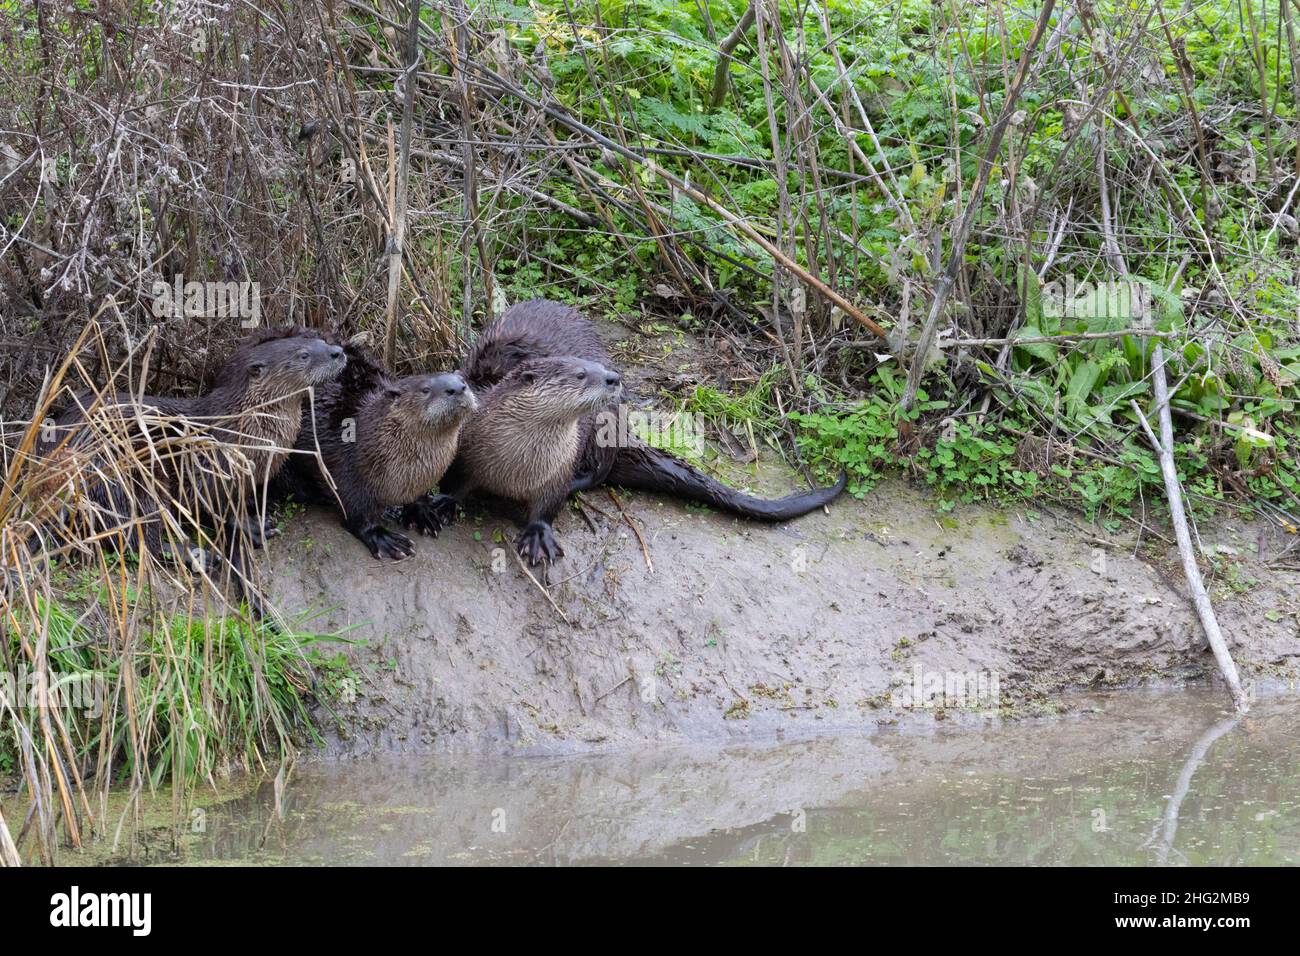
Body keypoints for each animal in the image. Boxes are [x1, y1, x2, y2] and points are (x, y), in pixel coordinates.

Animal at [279, 364, 478, 564]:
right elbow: (357, 512)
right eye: (425, 390)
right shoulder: (351, 472)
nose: (458, 388)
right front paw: (382, 537)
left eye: (463, 381)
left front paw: (423, 512)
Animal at [421, 303, 847, 564]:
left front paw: (539, 534)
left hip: (600, 428)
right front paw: (441, 505)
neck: (517, 464)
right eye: (581, 374)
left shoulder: (557, 469)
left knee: (600, 469)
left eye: (595, 367)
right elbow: (459, 482)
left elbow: (549, 505)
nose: (612, 377)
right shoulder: (467, 450)